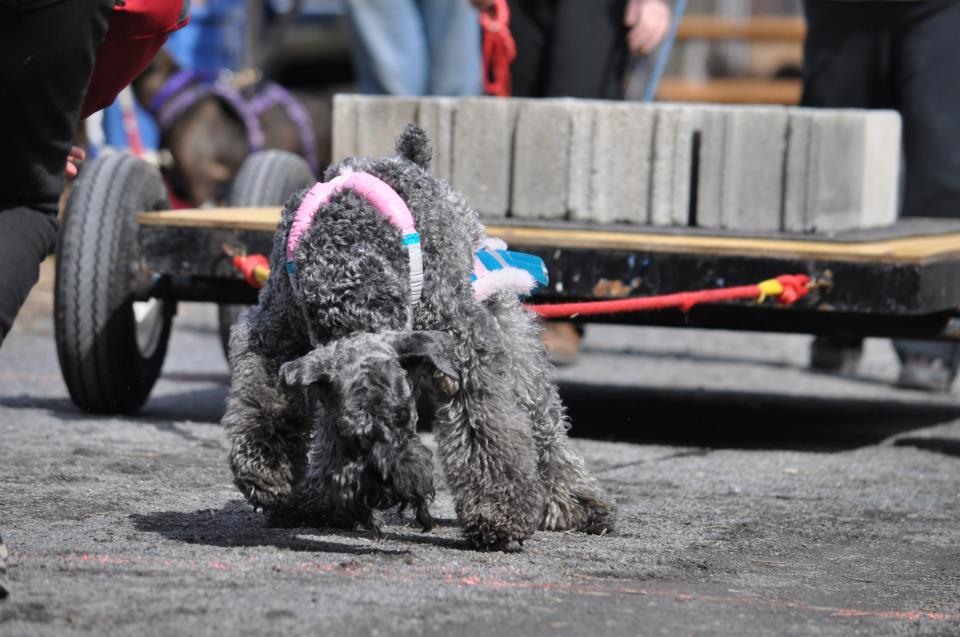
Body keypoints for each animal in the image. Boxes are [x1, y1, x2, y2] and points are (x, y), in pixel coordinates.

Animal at [223, 125, 616, 552]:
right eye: (355, 436)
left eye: (406, 417)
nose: (392, 491)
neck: (349, 264)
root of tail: (410, 158)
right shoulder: (274, 332)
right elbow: (266, 399)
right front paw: (265, 470)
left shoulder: (464, 343)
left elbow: (483, 427)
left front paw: (498, 515)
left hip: (499, 317)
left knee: (540, 414)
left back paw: (577, 503)